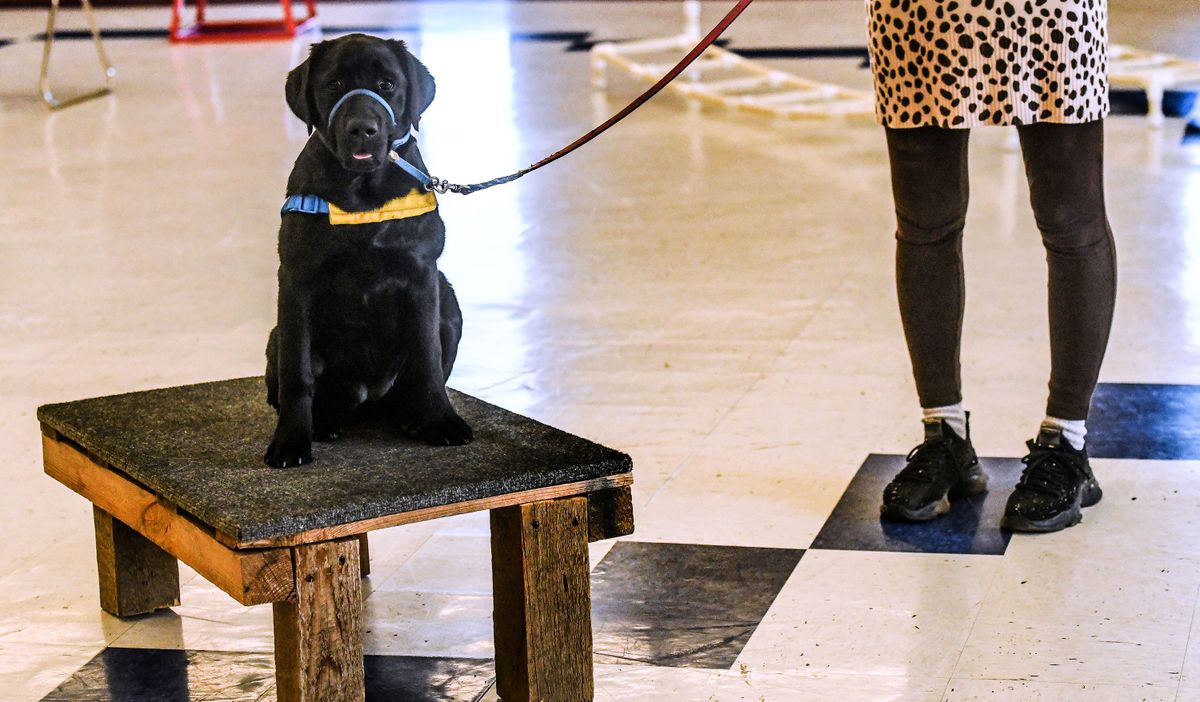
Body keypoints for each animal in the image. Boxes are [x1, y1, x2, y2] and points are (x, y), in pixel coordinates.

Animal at [265, 35, 470, 468]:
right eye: (334, 84)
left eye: (387, 84)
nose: (363, 129)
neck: (362, 193)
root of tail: (367, 396)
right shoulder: (296, 281)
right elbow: (297, 374)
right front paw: (291, 441)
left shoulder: (422, 276)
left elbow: (427, 356)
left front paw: (441, 422)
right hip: (277, 334)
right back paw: (323, 422)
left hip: (448, 299)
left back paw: (413, 418)